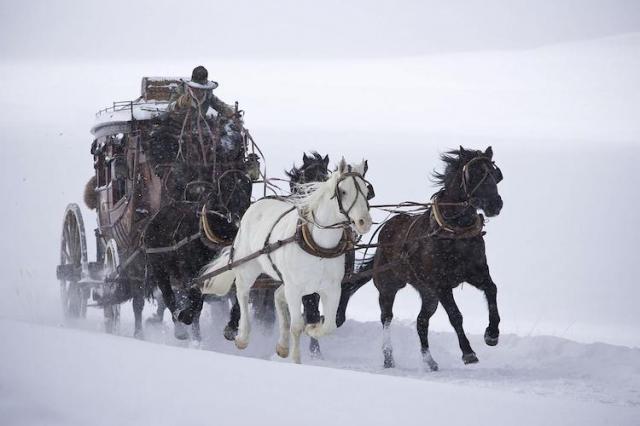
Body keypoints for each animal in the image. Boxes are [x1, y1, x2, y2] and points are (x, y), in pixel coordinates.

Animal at [199, 158, 370, 364]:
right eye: (343, 191)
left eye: (367, 191)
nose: (364, 222)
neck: (319, 247)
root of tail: (257, 204)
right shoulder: (295, 289)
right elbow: (296, 326)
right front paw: (296, 361)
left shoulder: (331, 288)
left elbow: (329, 326)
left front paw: (312, 329)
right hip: (248, 267)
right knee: (242, 294)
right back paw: (242, 337)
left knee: (277, 296)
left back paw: (282, 345)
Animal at [338, 146, 502, 370]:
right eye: (475, 173)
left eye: (495, 174)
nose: (496, 204)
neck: (454, 232)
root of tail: (386, 231)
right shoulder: (441, 285)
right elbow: (455, 316)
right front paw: (468, 352)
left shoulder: (476, 273)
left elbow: (492, 290)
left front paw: (492, 334)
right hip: (389, 286)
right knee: (386, 318)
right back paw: (388, 357)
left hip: (428, 293)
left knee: (421, 321)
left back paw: (429, 360)